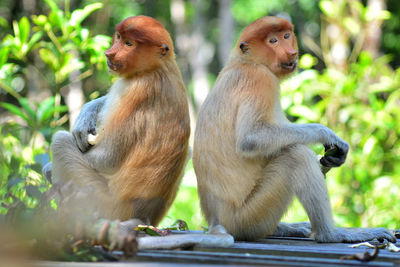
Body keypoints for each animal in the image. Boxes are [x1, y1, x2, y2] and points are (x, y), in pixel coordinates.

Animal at [47, 15, 191, 228]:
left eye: (129, 44)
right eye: (119, 37)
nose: (109, 53)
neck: (158, 68)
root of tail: (143, 218)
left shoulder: (137, 91)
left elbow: (108, 158)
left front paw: (47, 168)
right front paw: (86, 114)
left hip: (101, 203)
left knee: (60, 142)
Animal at [192, 15, 396, 244]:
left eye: (286, 36)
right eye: (273, 41)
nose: (290, 52)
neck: (246, 61)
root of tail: (215, 222)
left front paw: (332, 159)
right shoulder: (259, 79)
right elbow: (251, 138)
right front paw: (326, 134)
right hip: (248, 217)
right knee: (296, 156)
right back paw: (330, 234)